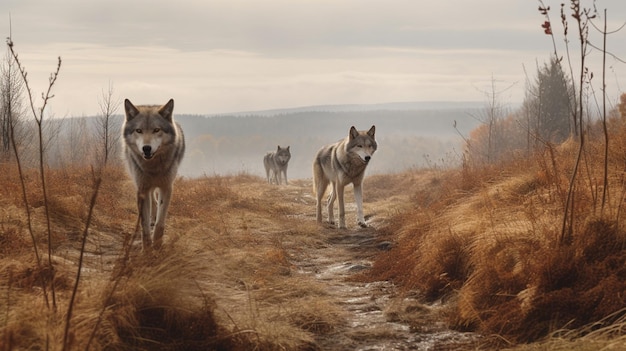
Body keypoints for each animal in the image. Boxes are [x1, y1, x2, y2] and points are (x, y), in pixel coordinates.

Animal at [119, 99, 183, 250]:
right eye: (139, 130)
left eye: (156, 130)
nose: (146, 148)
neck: (153, 168)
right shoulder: (142, 189)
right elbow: (144, 225)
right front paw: (147, 250)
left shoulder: (166, 187)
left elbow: (160, 223)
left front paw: (157, 247)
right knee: (153, 201)